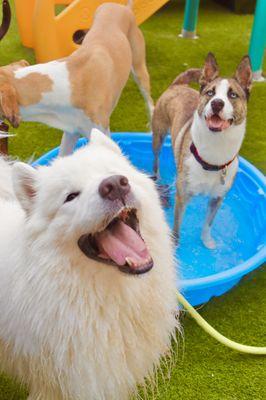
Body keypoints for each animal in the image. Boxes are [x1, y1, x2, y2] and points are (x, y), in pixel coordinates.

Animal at [152, 52, 251, 248]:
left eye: (233, 95)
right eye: (210, 93)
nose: (217, 103)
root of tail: (178, 85)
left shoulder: (217, 198)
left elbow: (208, 224)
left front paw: (207, 242)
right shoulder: (182, 196)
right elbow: (176, 228)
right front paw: (174, 247)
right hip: (158, 135)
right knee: (156, 158)